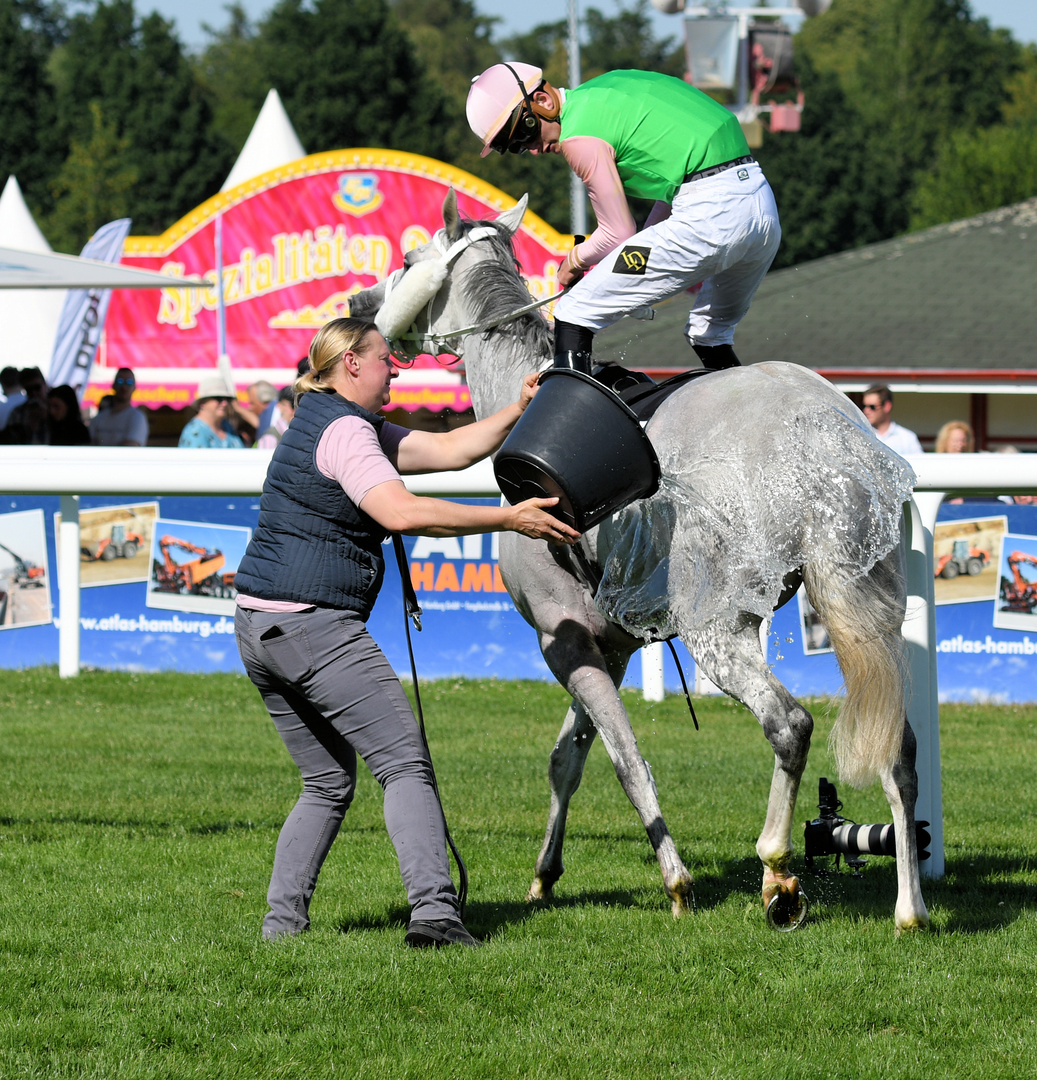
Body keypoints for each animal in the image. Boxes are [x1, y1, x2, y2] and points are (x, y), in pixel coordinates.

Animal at [356, 190, 933, 933]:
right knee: (899, 750)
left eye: (405, 259)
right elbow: (566, 759)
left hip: (720, 634)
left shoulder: (563, 641)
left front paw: (676, 881)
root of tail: (820, 433)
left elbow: (626, 760)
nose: (360, 305)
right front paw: (545, 874)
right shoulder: (610, 646)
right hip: (867, 615)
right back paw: (908, 906)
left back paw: (778, 869)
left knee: (788, 725)